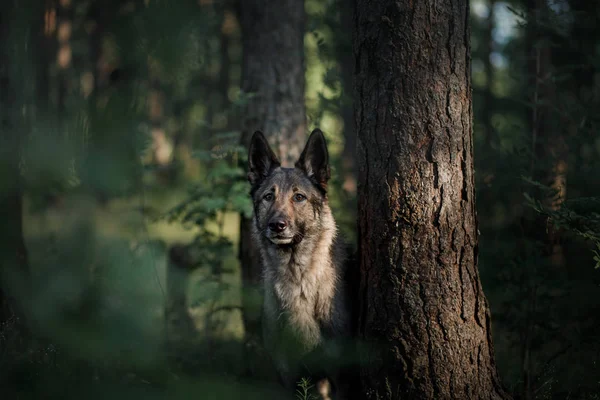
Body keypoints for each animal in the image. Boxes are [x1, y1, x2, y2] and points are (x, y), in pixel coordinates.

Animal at [246, 130, 354, 398]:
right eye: (268, 197)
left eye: (299, 197)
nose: (277, 225)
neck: (299, 281)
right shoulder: (289, 375)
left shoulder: (343, 375)